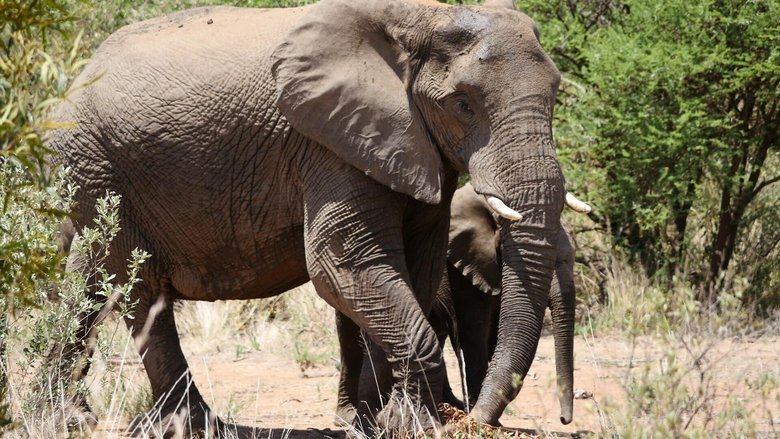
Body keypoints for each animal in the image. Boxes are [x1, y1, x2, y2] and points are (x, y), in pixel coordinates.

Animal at [335, 183, 584, 427]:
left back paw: (447, 404)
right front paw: (480, 419)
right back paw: (347, 417)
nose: (563, 419)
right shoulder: (461, 268)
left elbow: (494, 336)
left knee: (436, 332)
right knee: (350, 334)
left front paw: (488, 420)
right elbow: (473, 333)